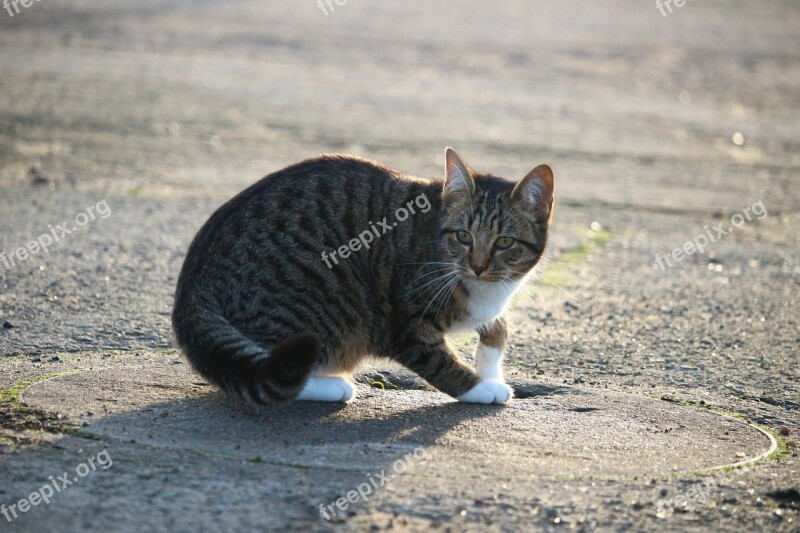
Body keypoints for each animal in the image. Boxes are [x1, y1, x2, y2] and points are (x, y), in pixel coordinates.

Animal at [172, 148, 552, 406]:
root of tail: (189, 287)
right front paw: (483, 387)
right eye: (463, 236)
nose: (477, 266)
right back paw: (331, 385)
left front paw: (490, 368)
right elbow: (439, 361)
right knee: (277, 371)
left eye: (504, 242)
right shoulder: (406, 326)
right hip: (319, 308)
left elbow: (498, 331)